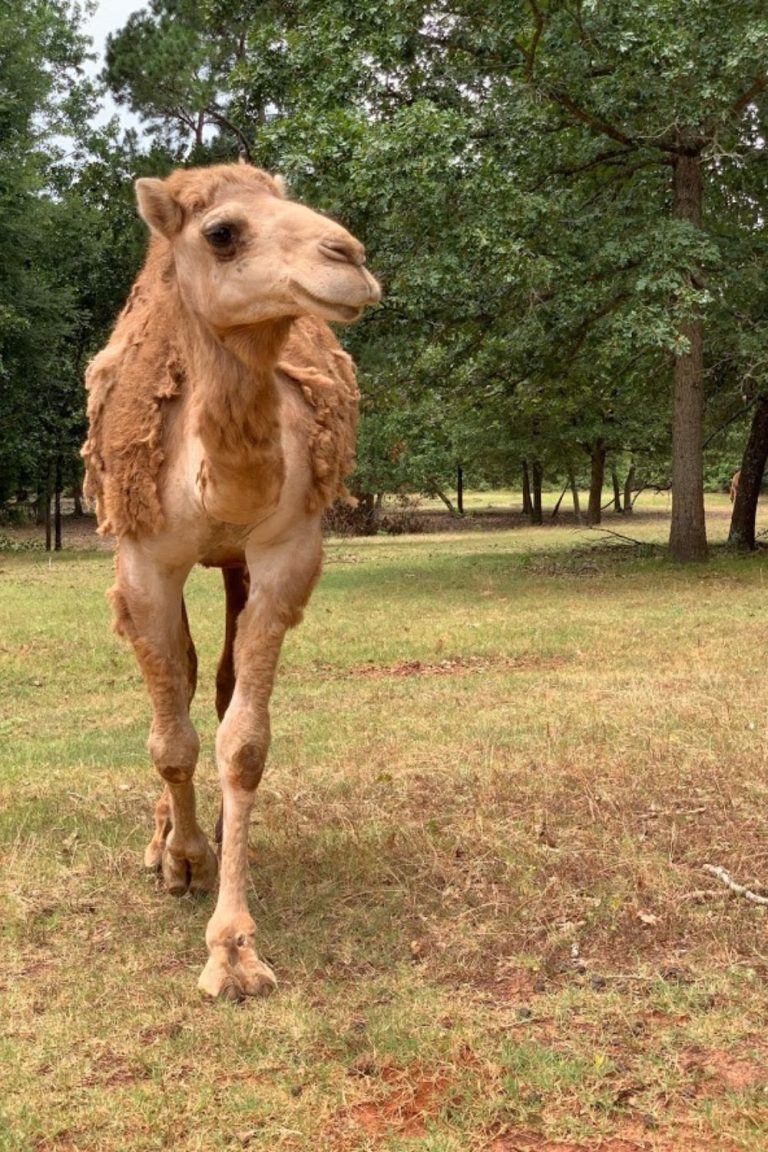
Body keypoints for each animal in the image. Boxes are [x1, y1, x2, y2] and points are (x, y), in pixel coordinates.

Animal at [82, 164, 379, 999]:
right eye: (221, 232)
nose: (350, 257)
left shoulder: (283, 551)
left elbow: (242, 741)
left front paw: (233, 950)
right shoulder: (145, 561)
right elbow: (170, 736)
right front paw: (182, 862)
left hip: (238, 564)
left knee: (213, 684)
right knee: (178, 683)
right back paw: (166, 844)